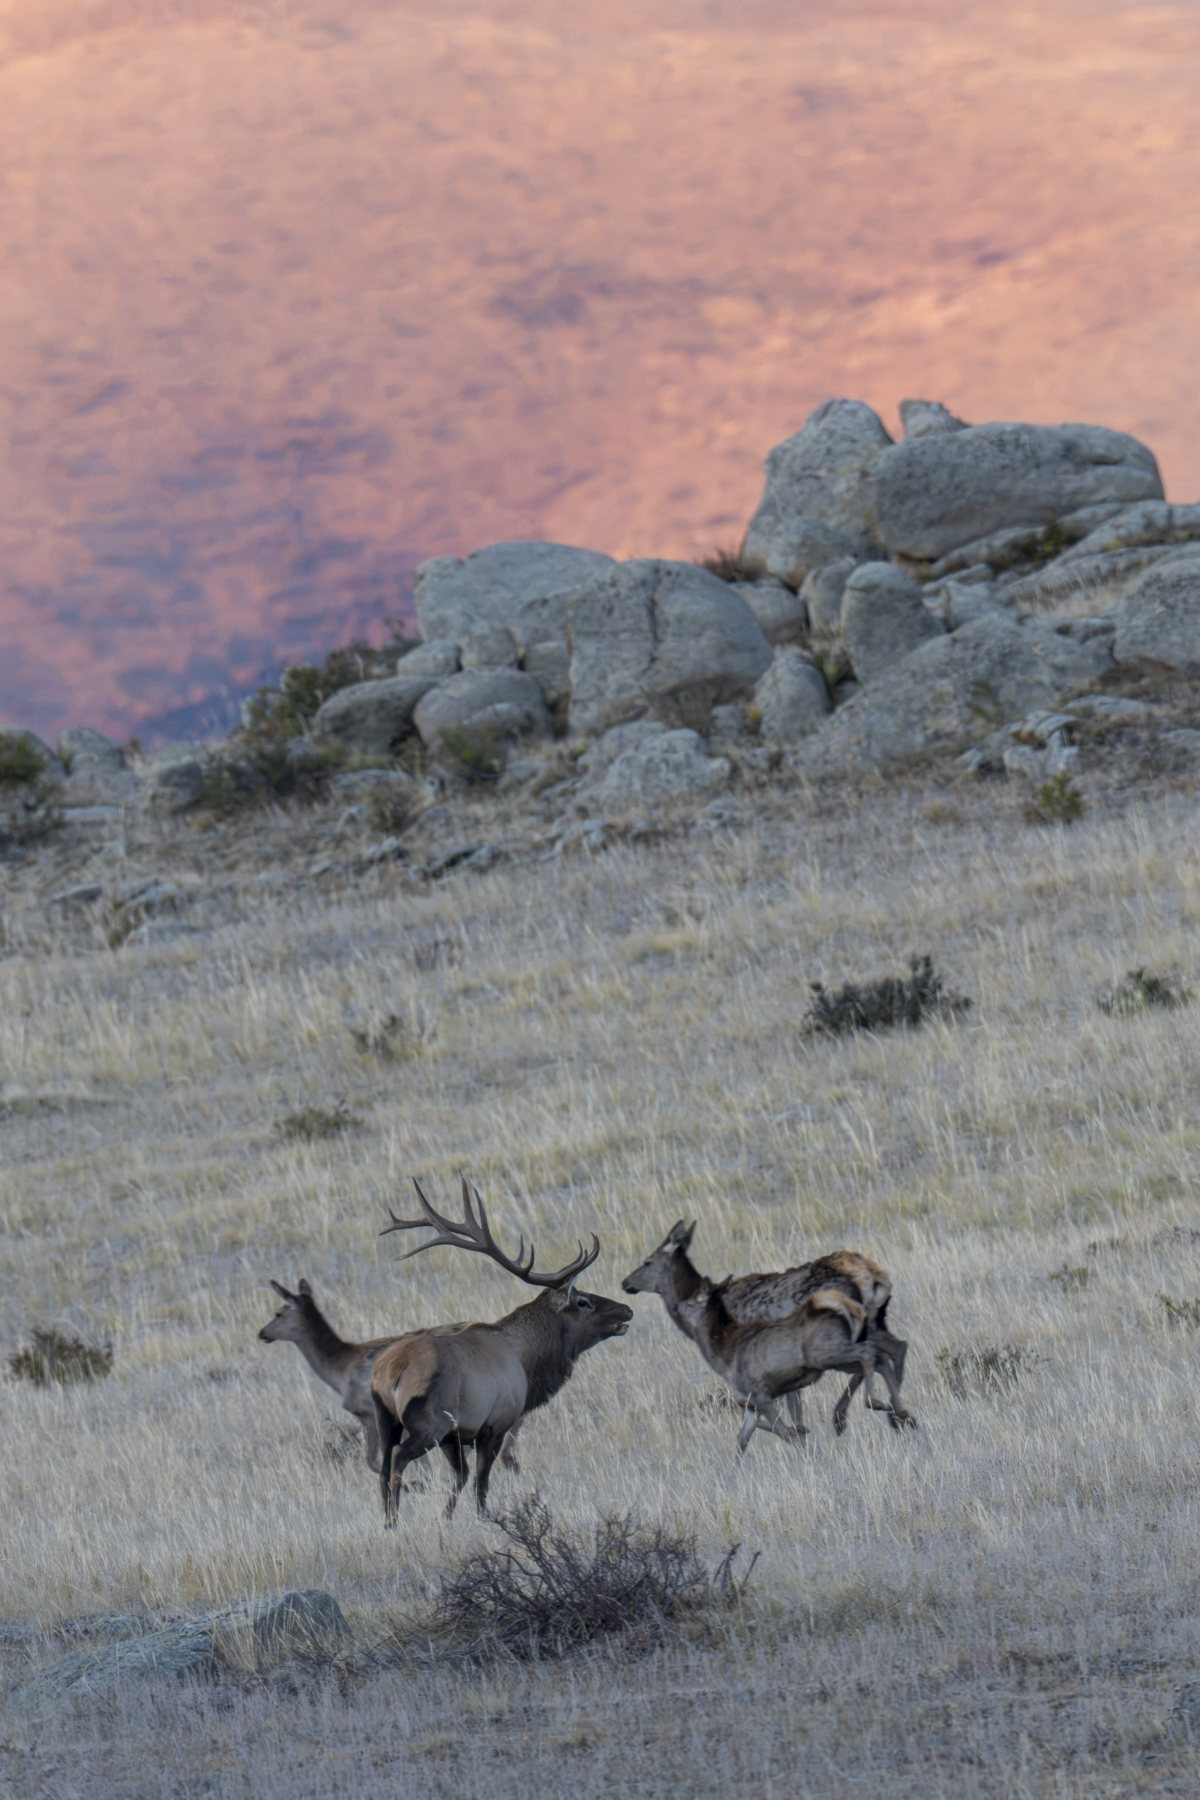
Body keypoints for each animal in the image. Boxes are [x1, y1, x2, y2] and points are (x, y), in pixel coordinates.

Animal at [257, 1279, 520, 1476]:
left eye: (278, 1313)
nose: (262, 1333)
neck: (341, 1367)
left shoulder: (370, 1413)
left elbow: (375, 1461)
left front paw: (416, 1484)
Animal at [371, 1177, 633, 1522]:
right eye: (583, 1301)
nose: (627, 1310)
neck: (527, 1364)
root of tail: (391, 1371)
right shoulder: (494, 1424)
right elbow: (481, 1485)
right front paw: (487, 1520)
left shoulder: (456, 1436)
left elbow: (461, 1477)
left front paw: (446, 1519)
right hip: (430, 1421)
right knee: (398, 1460)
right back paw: (395, 1520)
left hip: (386, 1419)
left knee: (382, 1466)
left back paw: (388, 1523)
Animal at [621, 1221, 908, 1436]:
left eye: (647, 1262)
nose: (625, 1282)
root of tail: (875, 1277)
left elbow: (788, 1402)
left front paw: (798, 1429)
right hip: (873, 1321)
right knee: (896, 1347)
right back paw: (899, 1413)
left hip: (848, 1330)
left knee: (876, 1355)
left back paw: (856, 1415)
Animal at [676, 1274, 915, 1454]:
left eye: (692, 1301)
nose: (677, 1306)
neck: (724, 1355)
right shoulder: (750, 1403)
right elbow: (743, 1439)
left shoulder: (760, 1394)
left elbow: (782, 1431)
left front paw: (807, 1449)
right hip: (838, 1358)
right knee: (880, 1357)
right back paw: (900, 1413)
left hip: (827, 1353)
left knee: (871, 1352)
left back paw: (878, 1404)